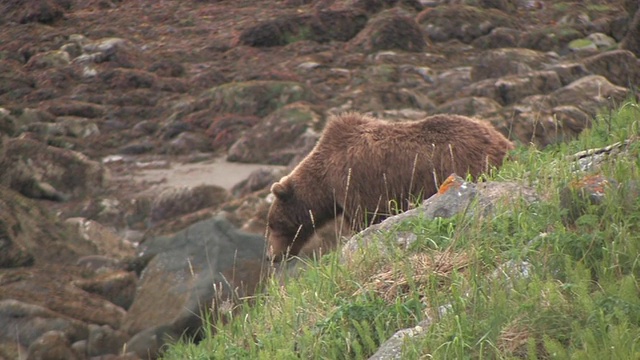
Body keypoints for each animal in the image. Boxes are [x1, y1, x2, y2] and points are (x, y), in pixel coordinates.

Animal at [264, 112, 516, 258]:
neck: (325, 183)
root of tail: (504, 141)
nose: (271, 255)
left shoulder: (357, 184)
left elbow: (366, 219)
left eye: (273, 224)